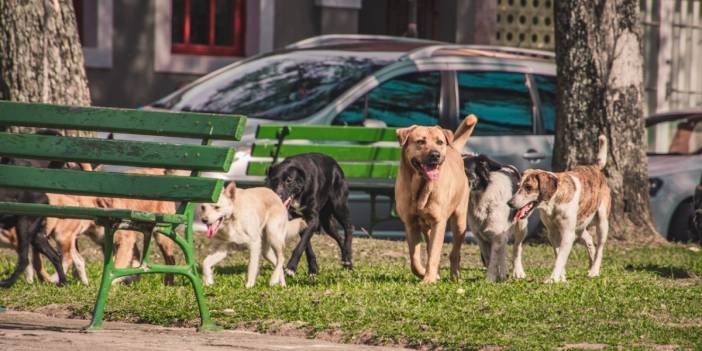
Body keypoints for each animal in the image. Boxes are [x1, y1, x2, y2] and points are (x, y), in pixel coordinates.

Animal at [396, 115, 478, 284]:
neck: (421, 187)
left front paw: (428, 279)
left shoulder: (439, 222)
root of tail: (453, 149)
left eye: (439, 142)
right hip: (427, 227)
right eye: (420, 141)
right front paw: (423, 273)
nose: (435, 155)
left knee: (455, 253)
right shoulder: (410, 224)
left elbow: (434, 254)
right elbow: (414, 259)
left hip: (459, 221)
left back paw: (455, 276)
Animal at [508, 135, 612, 284]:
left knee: (600, 247)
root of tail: (594, 167)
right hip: (579, 226)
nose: (509, 203)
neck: (552, 204)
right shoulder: (552, 232)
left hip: (602, 222)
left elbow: (561, 257)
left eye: (528, 187)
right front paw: (561, 277)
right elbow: (558, 254)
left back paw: (594, 270)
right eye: (518, 186)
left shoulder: (567, 233)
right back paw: (590, 265)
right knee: (588, 239)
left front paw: (553, 278)